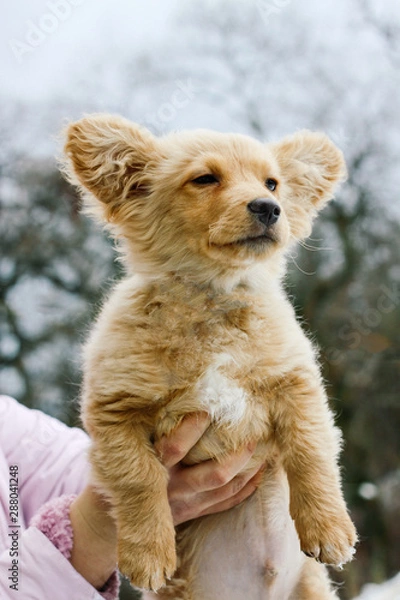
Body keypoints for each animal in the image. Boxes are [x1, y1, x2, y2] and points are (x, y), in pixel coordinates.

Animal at [63, 115, 360, 596]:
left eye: (272, 183)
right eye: (205, 179)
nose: (268, 208)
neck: (212, 300)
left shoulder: (296, 384)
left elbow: (310, 453)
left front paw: (329, 528)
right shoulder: (115, 411)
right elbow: (139, 479)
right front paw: (148, 554)